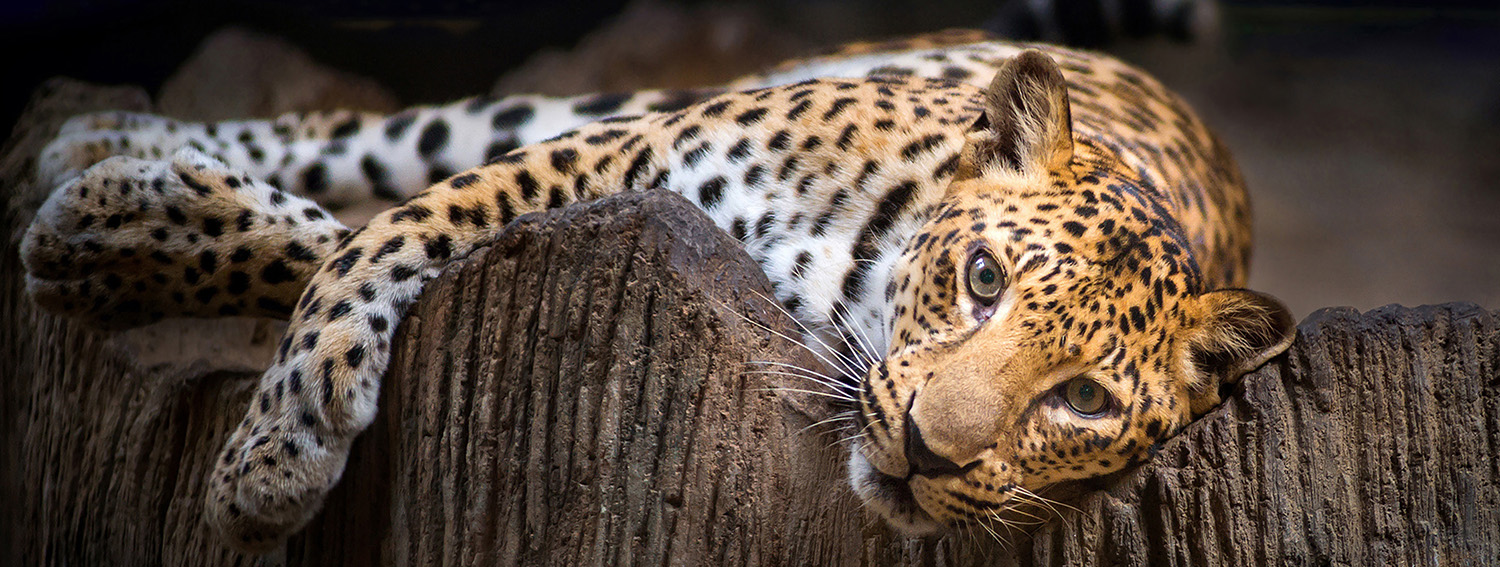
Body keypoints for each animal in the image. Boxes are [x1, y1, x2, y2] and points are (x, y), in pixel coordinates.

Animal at [20, 33, 1295, 552]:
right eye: (983, 278)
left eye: (1083, 402)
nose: (930, 451)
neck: (852, 278)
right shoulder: (624, 159)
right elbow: (393, 230)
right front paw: (272, 451)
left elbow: (373, 237)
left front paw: (119, 241)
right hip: (615, 106)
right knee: (378, 142)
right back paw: (101, 138)